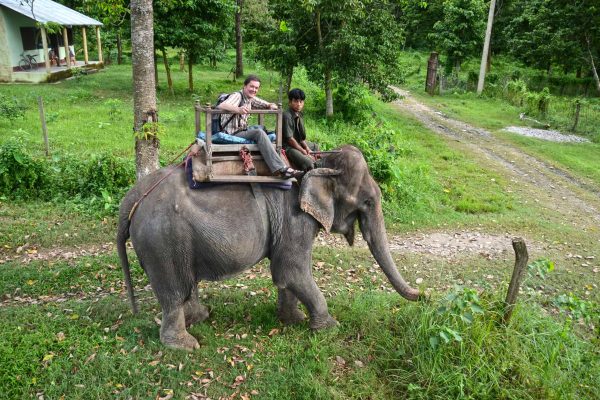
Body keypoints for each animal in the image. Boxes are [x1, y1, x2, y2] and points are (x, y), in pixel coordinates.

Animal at [116, 146, 418, 350]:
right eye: (367, 201)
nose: (422, 294)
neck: (317, 164)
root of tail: (132, 196)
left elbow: (287, 276)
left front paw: (292, 320)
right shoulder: (295, 218)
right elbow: (291, 271)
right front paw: (330, 329)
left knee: (186, 284)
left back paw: (201, 317)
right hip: (163, 242)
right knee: (173, 291)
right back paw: (185, 345)